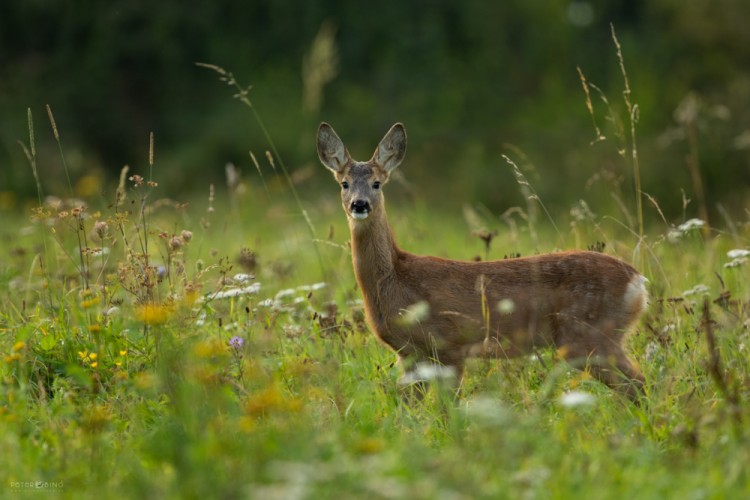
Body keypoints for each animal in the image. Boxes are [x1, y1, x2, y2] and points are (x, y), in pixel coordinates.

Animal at [314, 123, 648, 400]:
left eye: (377, 183)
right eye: (344, 183)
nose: (359, 204)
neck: (395, 278)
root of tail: (639, 282)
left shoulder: (449, 344)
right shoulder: (409, 354)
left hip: (589, 335)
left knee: (638, 383)